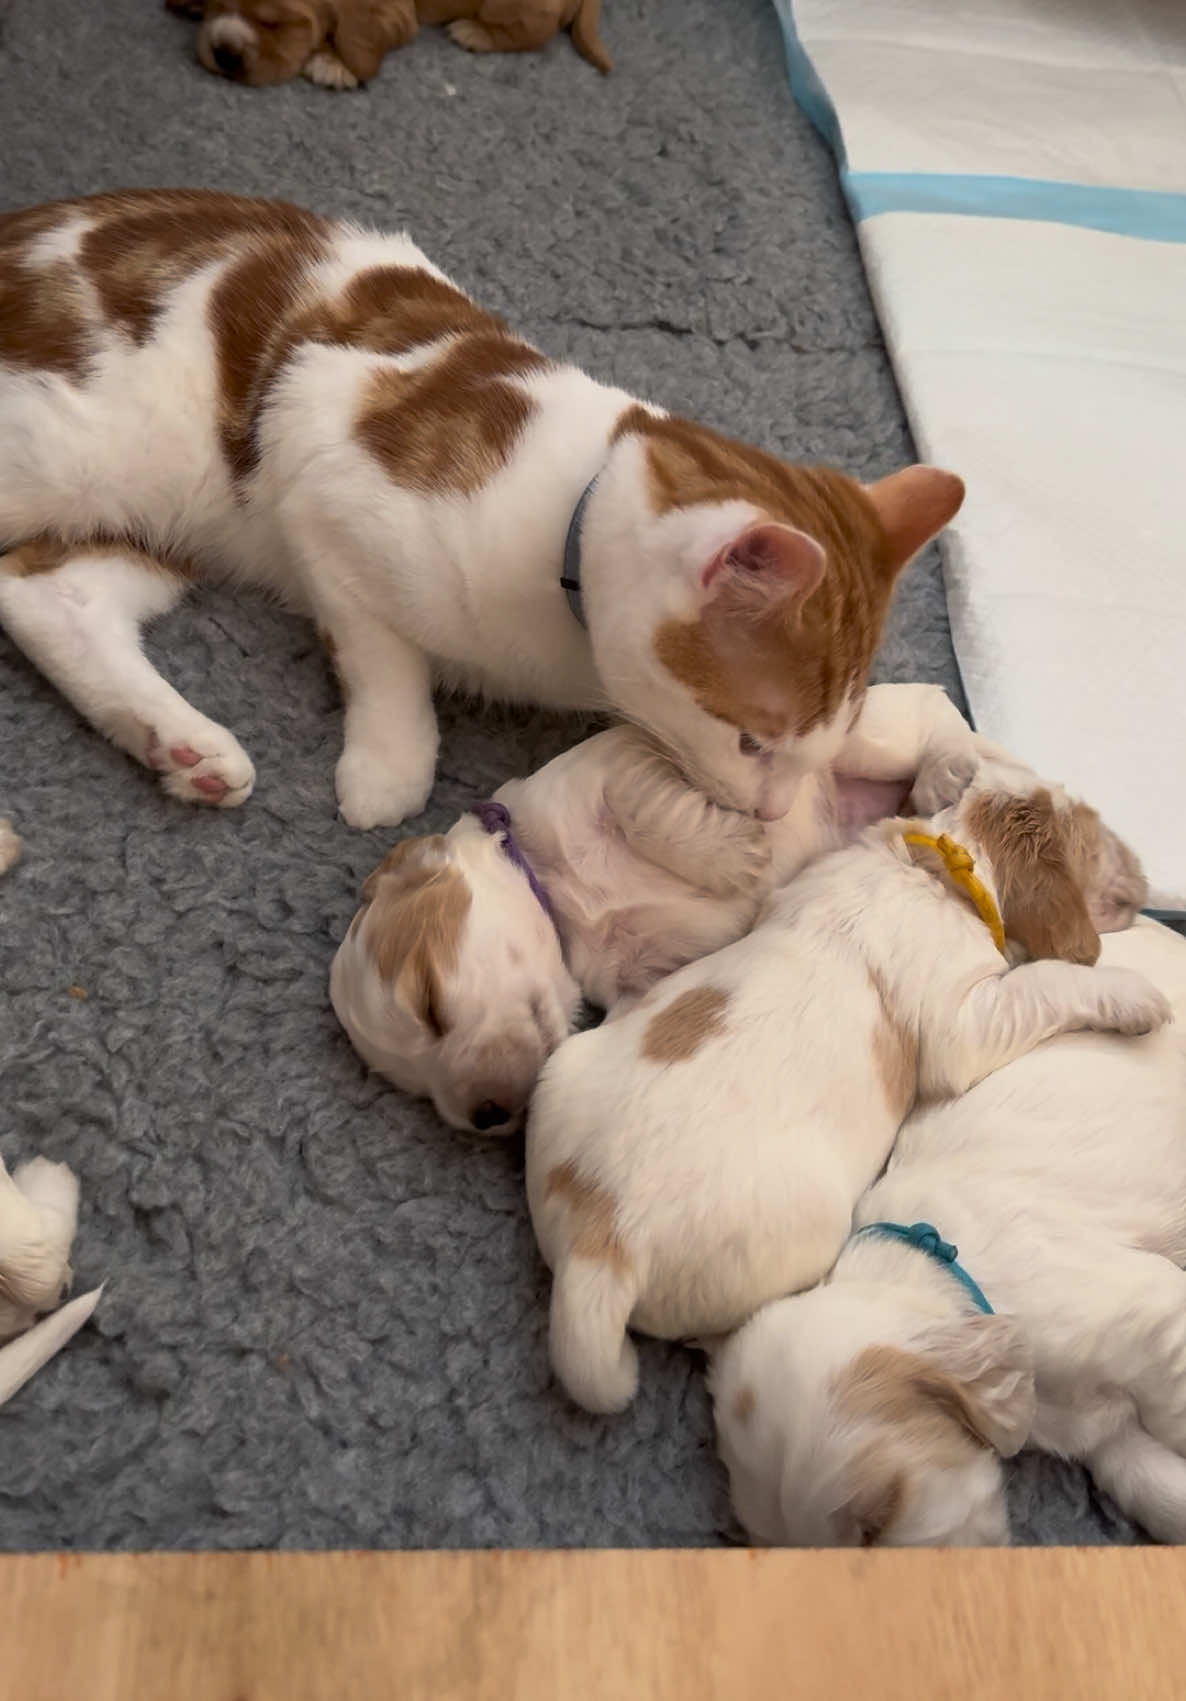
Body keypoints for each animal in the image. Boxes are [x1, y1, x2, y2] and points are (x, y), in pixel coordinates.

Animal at [0, 193, 959, 830]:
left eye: (828, 741)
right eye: (753, 741)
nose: (770, 814)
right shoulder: (319, 471)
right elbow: (383, 659)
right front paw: (388, 768)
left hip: (166, 518)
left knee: (45, 597)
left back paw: (181, 746)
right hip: (89, 450)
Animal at [524, 755, 1163, 1408]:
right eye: (1094, 835)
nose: (1145, 886)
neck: (945, 867)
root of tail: (598, 1244)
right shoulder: (969, 1024)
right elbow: (1048, 982)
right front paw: (1135, 996)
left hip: (562, 1066)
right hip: (814, 1228)